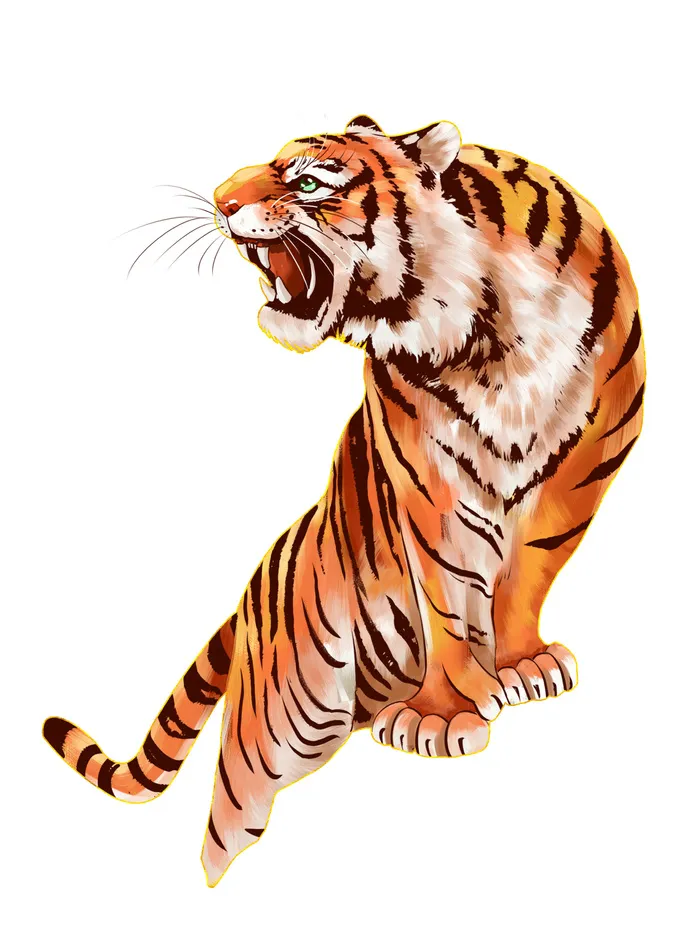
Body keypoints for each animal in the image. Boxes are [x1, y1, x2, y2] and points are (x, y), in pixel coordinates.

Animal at [43, 114, 645, 887]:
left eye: (307, 179)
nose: (219, 198)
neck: (495, 336)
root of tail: (250, 593)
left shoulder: (585, 468)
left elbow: (528, 575)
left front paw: (519, 664)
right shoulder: (428, 480)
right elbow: (450, 595)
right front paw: (444, 712)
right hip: (270, 734)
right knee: (223, 833)